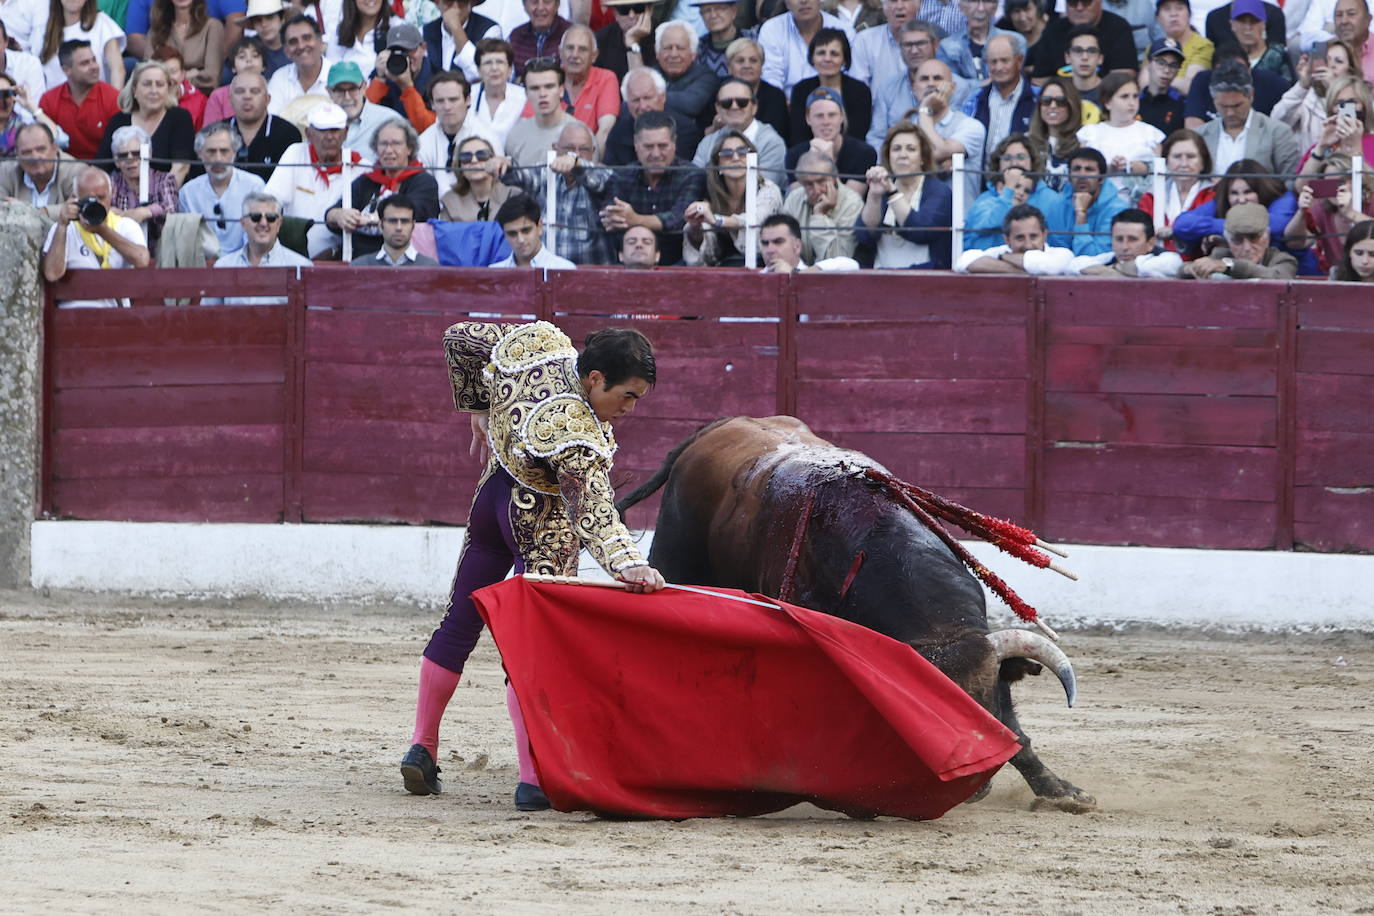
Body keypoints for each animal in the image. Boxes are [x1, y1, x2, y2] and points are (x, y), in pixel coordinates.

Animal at [621, 420, 1093, 807]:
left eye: (986, 702)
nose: (974, 787)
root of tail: (711, 430)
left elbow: (1017, 732)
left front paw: (1062, 791)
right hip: (674, 554)